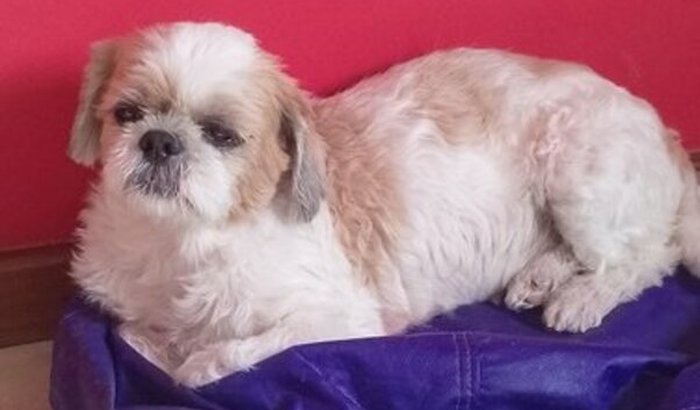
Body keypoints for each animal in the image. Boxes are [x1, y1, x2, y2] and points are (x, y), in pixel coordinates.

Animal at [67, 22, 700, 387]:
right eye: (127, 114)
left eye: (222, 135)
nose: (160, 140)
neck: (181, 242)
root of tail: (663, 132)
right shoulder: (127, 306)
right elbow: (134, 335)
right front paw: (161, 343)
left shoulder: (338, 318)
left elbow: (213, 359)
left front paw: (194, 360)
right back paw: (540, 276)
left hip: (577, 172)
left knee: (645, 257)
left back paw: (580, 298)